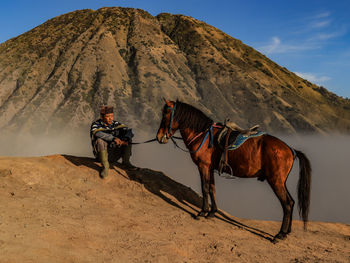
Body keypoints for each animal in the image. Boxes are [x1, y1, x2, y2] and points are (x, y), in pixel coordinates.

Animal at [156, 100, 312, 242]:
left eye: (165, 116)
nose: (159, 137)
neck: (203, 136)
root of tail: (291, 150)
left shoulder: (203, 166)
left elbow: (205, 188)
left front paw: (202, 212)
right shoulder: (210, 168)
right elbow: (212, 188)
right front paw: (212, 212)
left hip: (276, 181)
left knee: (287, 203)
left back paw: (279, 234)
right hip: (280, 182)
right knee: (292, 202)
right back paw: (286, 232)